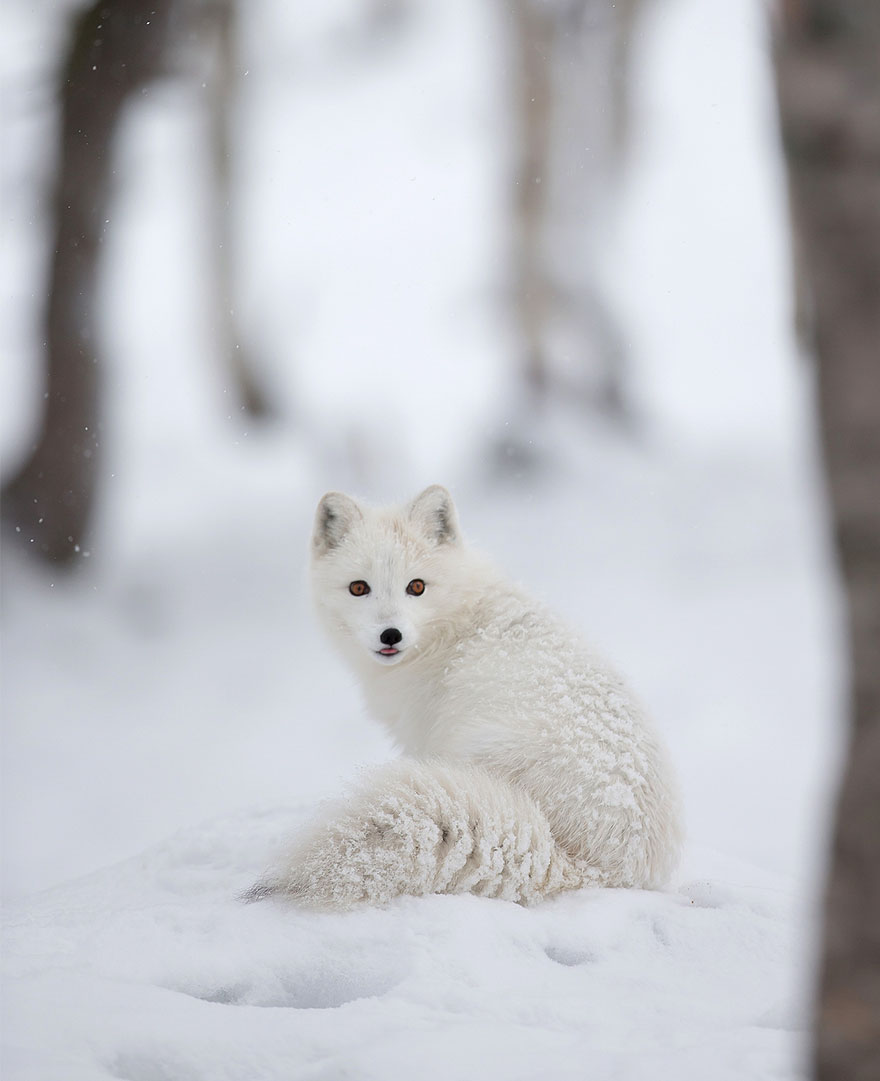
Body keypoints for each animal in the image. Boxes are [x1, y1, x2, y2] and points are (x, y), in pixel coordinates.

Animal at [250, 485, 681, 907]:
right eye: (359, 588)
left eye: (416, 587)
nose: (391, 635)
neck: (455, 623)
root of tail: (601, 868)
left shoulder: (422, 736)